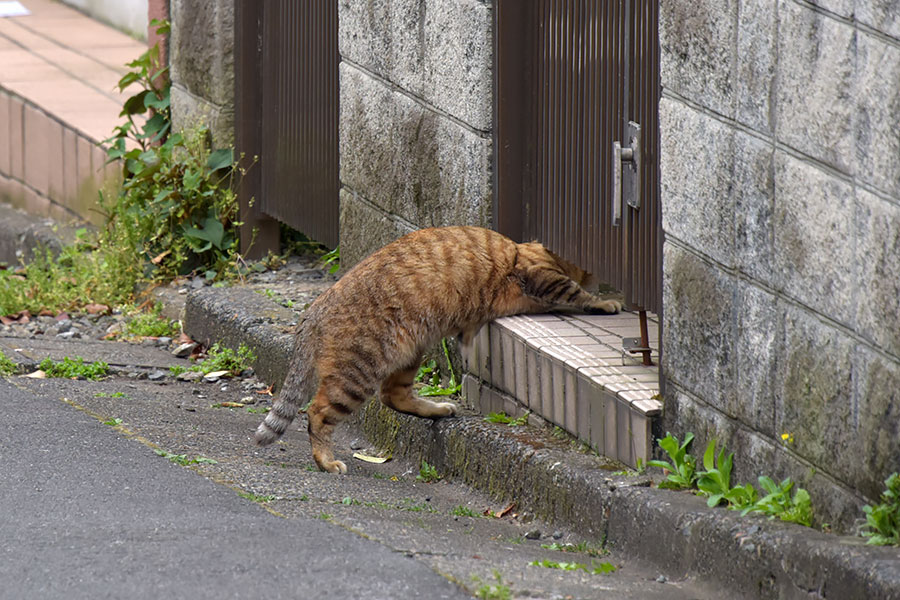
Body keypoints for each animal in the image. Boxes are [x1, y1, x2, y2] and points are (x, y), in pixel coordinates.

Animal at [253, 225, 620, 474]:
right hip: (357, 373)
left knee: (393, 396)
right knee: (318, 413)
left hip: (409, 353)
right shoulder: (540, 274)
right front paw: (605, 302)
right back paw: (326, 461)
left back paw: (437, 409)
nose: (599, 274)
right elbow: (576, 293)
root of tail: (313, 310)